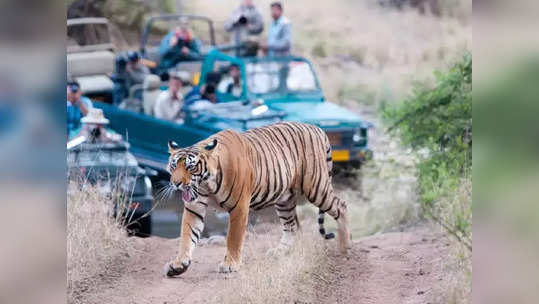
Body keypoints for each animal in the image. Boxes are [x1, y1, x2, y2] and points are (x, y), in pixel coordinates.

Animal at [162, 120, 352, 276]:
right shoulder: (194, 207)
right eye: (174, 166)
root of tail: (317, 128)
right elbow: (187, 235)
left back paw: (345, 246)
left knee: (341, 206)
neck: (206, 184)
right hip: (285, 199)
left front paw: (230, 264)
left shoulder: (239, 207)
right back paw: (279, 252)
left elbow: (233, 237)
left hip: (316, 187)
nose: (176, 183)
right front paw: (179, 264)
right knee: (292, 226)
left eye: (191, 167)